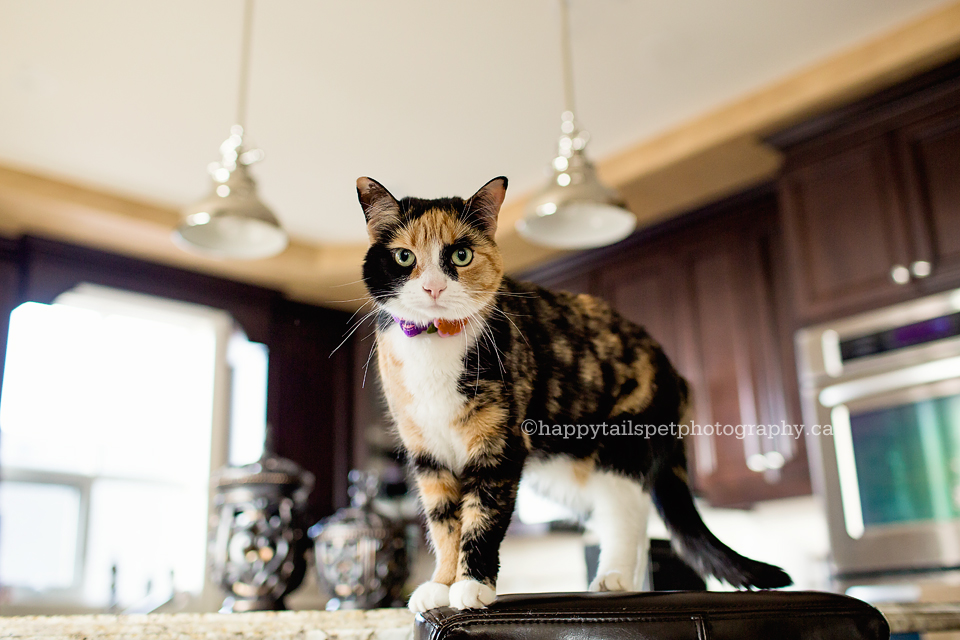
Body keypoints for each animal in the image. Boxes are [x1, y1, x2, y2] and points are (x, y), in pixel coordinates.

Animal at [356, 176, 792, 616]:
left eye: (461, 255)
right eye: (404, 257)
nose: (433, 287)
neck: (435, 343)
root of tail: (674, 372)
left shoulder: (499, 446)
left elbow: (483, 515)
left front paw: (472, 586)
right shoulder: (428, 455)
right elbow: (444, 522)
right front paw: (441, 584)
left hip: (623, 441)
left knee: (627, 512)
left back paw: (614, 578)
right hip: (564, 470)